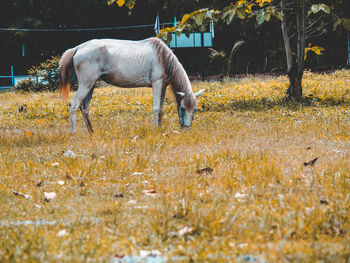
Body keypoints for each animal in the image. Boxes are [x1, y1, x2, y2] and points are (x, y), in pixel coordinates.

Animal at [58, 36, 205, 134]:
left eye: (195, 109)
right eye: (182, 108)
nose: (186, 130)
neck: (162, 57)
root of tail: (77, 48)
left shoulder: (163, 86)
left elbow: (161, 110)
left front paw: (160, 127)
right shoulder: (156, 83)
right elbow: (156, 108)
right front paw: (155, 129)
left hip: (91, 85)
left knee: (85, 108)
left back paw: (91, 132)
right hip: (85, 85)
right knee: (74, 105)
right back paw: (73, 134)